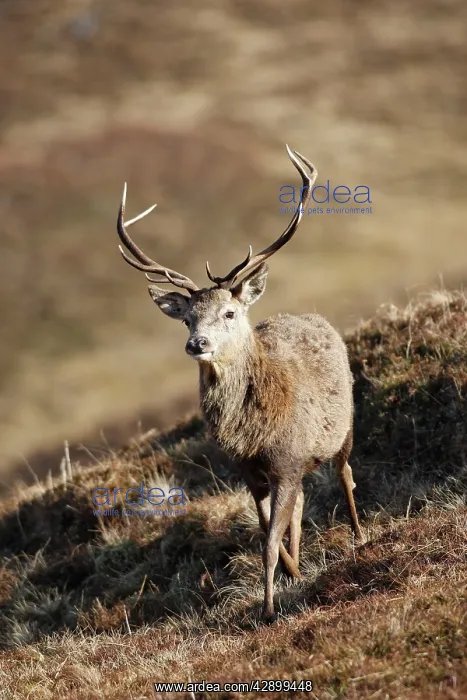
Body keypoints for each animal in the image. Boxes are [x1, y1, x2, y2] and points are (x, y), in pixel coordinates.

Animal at [115, 145, 364, 622]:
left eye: (229, 312)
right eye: (188, 318)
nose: (197, 343)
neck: (253, 433)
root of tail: (315, 317)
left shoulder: (287, 459)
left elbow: (268, 542)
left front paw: (268, 610)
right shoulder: (250, 472)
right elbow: (267, 532)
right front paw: (293, 574)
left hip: (344, 426)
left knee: (345, 473)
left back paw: (360, 536)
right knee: (301, 506)